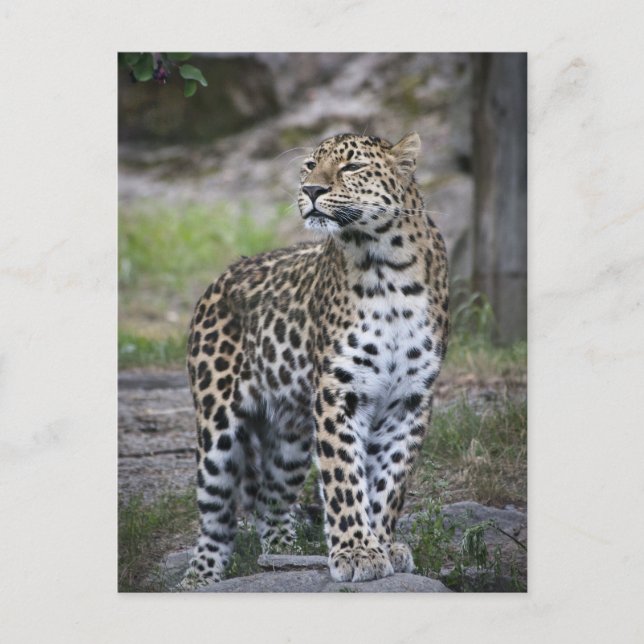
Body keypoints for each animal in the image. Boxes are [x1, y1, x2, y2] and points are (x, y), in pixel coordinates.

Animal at [180, 132, 449, 588]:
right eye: (309, 165)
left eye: (352, 167)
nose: (311, 190)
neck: (386, 266)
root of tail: (222, 277)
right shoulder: (341, 392)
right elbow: (344, 476)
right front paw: (357, 551)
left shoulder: (411, 400)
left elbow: (389, 481)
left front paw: (382, 543)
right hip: (217, 432)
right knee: (217, 518)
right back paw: (200, 579)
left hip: (291, 438)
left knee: (269, 499)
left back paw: (283, 553)